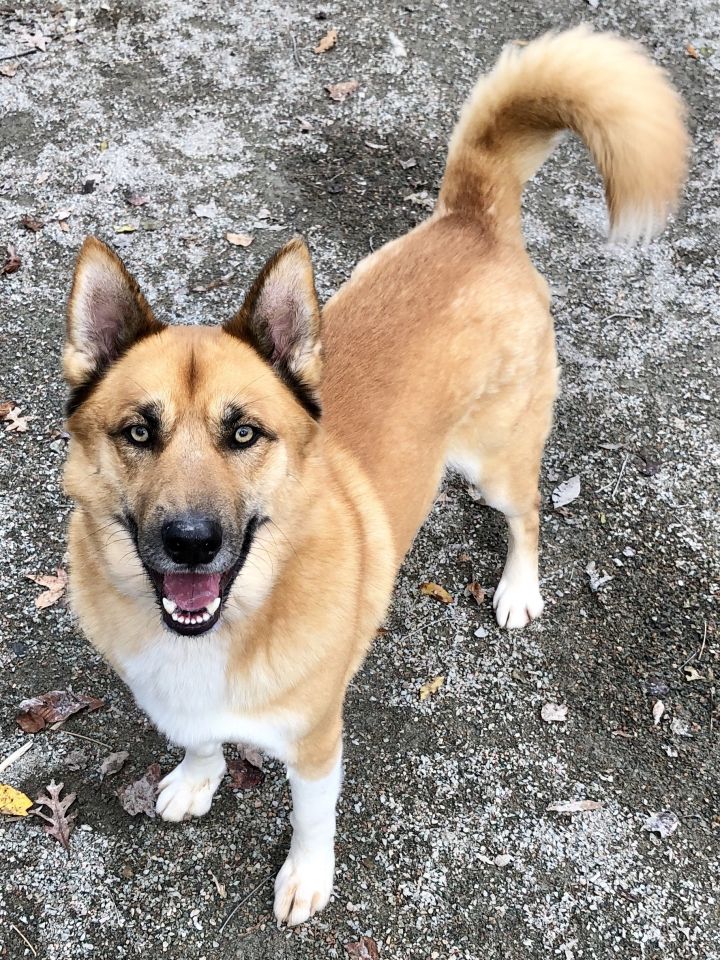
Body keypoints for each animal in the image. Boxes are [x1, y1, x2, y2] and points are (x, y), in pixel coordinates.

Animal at [63, 30, 688, 928]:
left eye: (244, 433)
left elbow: (311, 817)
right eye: (138, 432)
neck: (231, 620)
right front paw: (196, 777)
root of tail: (472, 218)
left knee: (529, 513)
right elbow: (202, 737)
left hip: (500, 461)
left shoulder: (318, 739)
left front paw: (305, 877)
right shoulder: (184, 703)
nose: (190, 544)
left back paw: (518, 589)